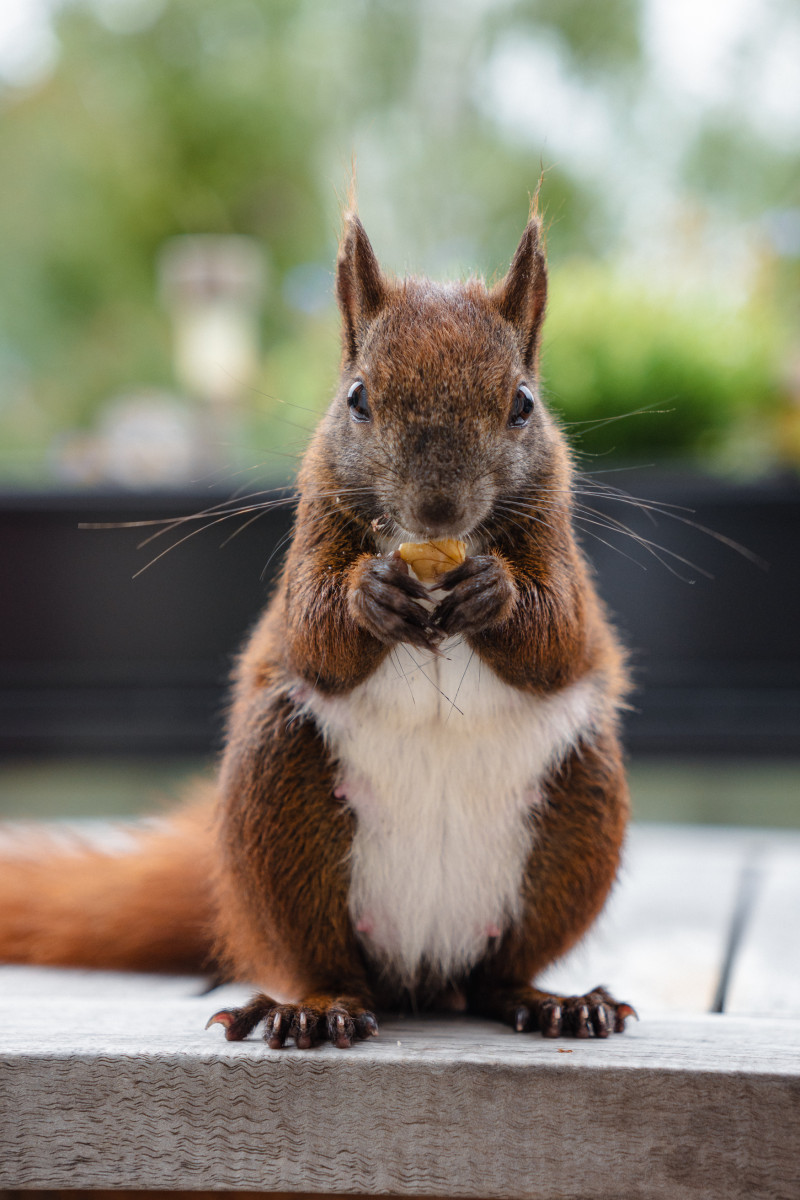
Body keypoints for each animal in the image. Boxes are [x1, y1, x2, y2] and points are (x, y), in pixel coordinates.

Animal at [0, 211, 638, 1046]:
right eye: (358, 398)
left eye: (523, 404)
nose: (437, 509)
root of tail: (422, 967)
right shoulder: (312, 530)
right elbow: (312, 631)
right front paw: (370, 596)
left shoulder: (559, 541)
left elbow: (560, 634)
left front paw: (492, 593)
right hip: (280, 808)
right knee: (327, 962)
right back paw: (314, 1007)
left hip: (581, 816)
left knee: (497, 972)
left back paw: (549, 1000)